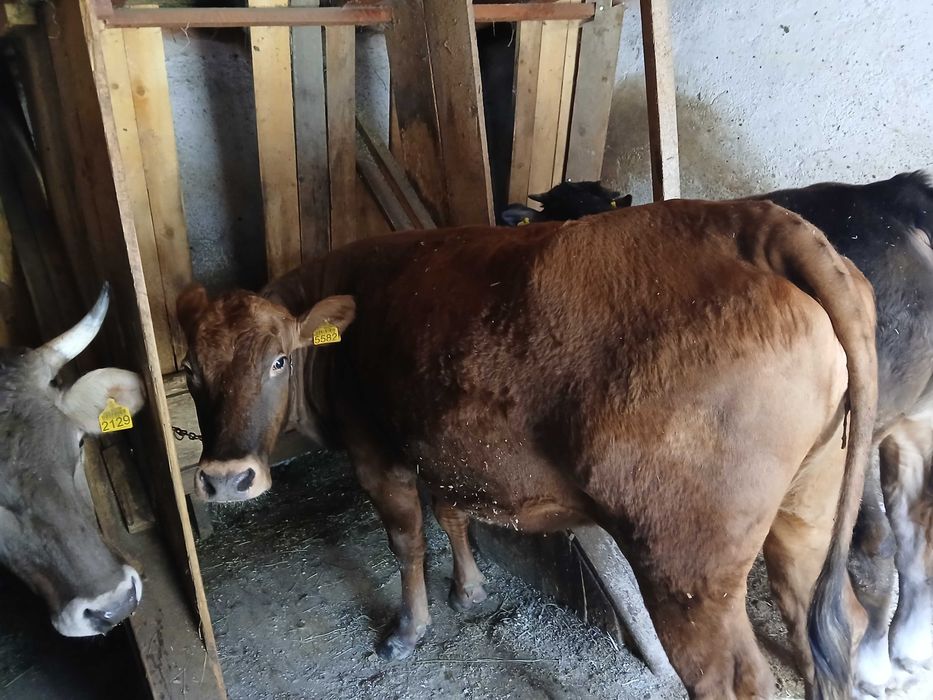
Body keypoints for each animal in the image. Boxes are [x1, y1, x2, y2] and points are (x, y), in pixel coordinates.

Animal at [179, 199, 877, 699]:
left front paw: (407, 632)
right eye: (189, 369)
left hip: (687, 567)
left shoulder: (376, 452)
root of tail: (754, 220)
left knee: (731, 678)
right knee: (830, 622)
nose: (225, 478)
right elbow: (453, 514)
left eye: (278, 360)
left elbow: (406, 541)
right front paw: (469, 593)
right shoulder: (442, 446)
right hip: (806, 510)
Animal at [507, 172, 933, 696]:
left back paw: (874, 664)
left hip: (859, 431)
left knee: (875, 542)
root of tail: (890, 194)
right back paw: (907, 651)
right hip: (909, 424)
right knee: (913, 528)